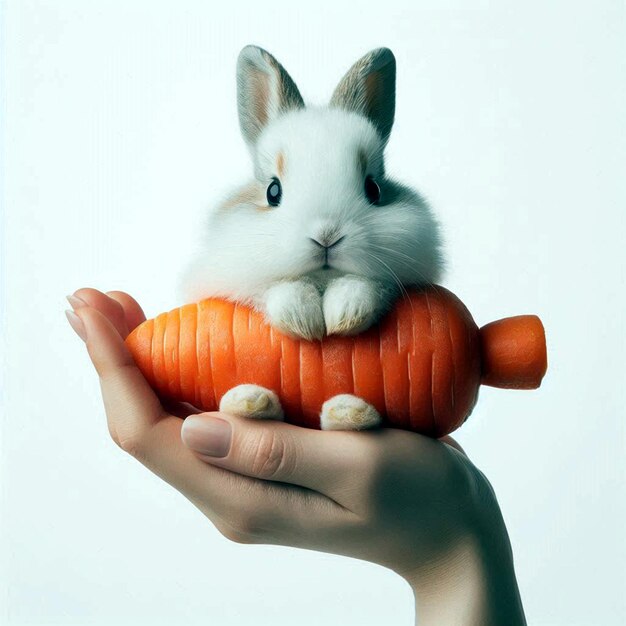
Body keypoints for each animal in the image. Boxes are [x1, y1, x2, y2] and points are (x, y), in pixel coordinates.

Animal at [174, 45, 444, 428]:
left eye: (373, 189)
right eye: (273, 191)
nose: (326, 236)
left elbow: (369, 285)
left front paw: (345, 313)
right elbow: (274, 289)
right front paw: (302, 320)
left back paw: (349, 413)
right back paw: (251, 403)